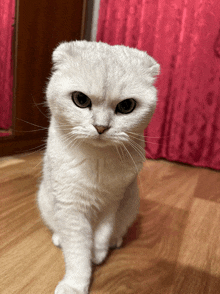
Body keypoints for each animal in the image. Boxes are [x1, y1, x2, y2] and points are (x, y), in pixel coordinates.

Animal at [37, 40, 159, 294]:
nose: (101, 127)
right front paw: (75, 284)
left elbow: (102, 233)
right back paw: (59, 238)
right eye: (81, 100)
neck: (98, 160)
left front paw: (98, 253)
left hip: (131, 204)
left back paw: (115, 241)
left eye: (127, 106)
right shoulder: (71, 207)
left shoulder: (112, 201)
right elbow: (77, 252)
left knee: (116, 231)